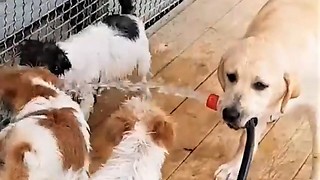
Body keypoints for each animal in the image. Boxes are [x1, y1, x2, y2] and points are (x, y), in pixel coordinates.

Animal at [214, 0, 318, 179]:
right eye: (231, 76)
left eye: (260, 85)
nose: (230, 115)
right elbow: (247, 141)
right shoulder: (257, 111)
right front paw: (233, 167)